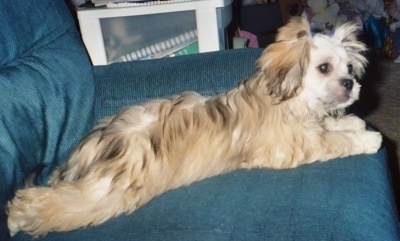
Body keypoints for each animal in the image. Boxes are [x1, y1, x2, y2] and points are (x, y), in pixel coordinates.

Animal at [5, 17, 382, 237]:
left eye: (349, 68)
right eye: (324, 68)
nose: (350, 83)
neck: (288, 100)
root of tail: (87, 149)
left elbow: (330, 127)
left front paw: (351, 121)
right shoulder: (292, 145)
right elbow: (331, 142)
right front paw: (367, 138)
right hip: (109, 190)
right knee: (59, 204)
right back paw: (18, 215)